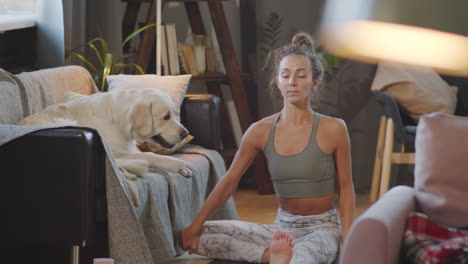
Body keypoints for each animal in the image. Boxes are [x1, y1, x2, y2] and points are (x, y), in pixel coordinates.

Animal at [16, 88, 192, 179]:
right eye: (166, 117)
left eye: (174, 114)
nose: (185, 133)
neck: (118, 121)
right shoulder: (115, 153)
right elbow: (150, 155)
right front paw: (177, 164)